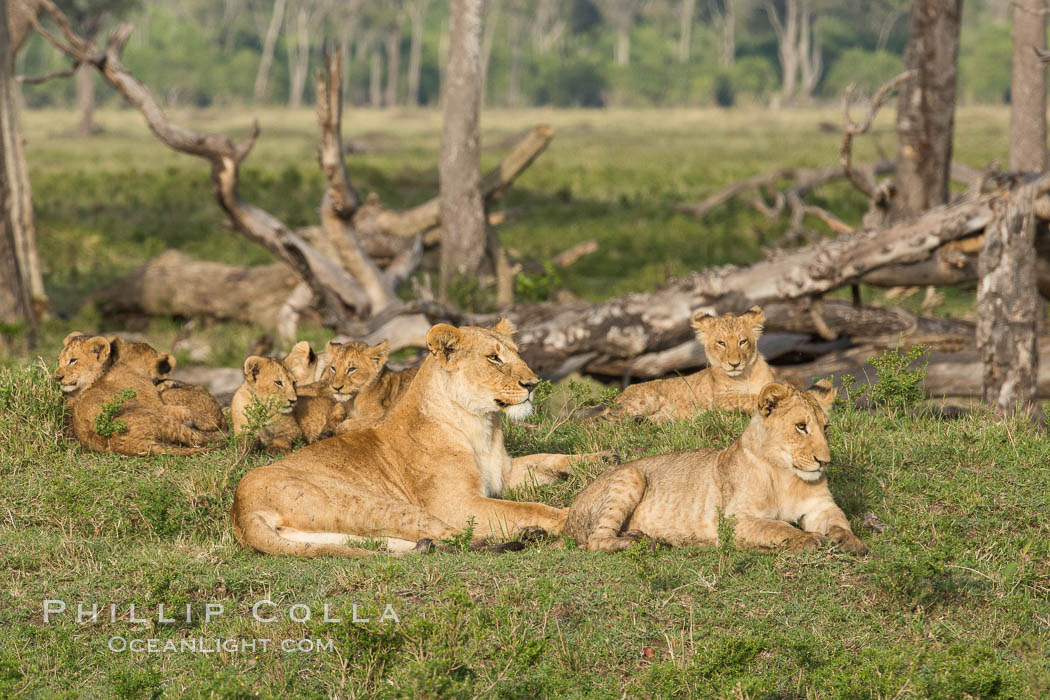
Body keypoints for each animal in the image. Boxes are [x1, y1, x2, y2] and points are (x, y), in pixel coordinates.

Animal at [567, 379, 869, 554]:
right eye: (801, 426)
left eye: (825, 428)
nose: (824, 461)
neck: (787, 475)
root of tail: (571, 511)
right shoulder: (733, 519)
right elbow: (776, 526)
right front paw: (806, 538)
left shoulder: (821, 506)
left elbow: (839, 520)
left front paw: (850, 541)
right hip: (630, 474)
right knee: (595, 540)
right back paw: (637, 541)